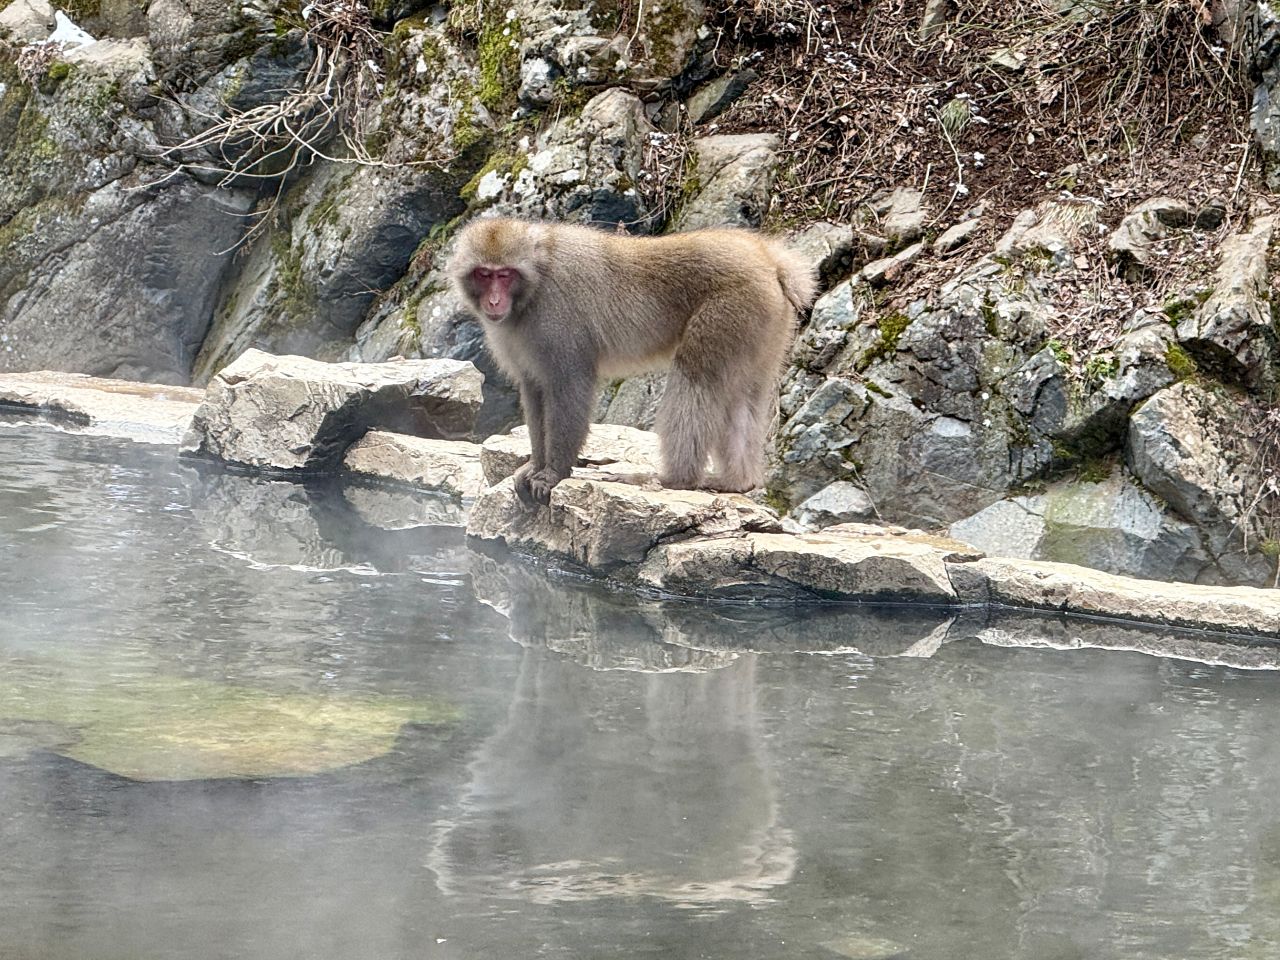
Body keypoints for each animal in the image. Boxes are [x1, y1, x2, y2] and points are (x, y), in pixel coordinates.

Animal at [447, 217, 817, 507]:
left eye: (505, 275)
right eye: (484, 274)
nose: (495, 301)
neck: (534, 285)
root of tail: (769, 259)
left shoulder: (558, 321)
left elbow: (569, 387)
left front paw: (553, 473)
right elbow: (534, 390)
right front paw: (535, 465)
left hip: (732, 308)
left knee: (696, 379)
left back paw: (676, 478)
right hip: (764, 323)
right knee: (743, 396)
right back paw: (737, 482)